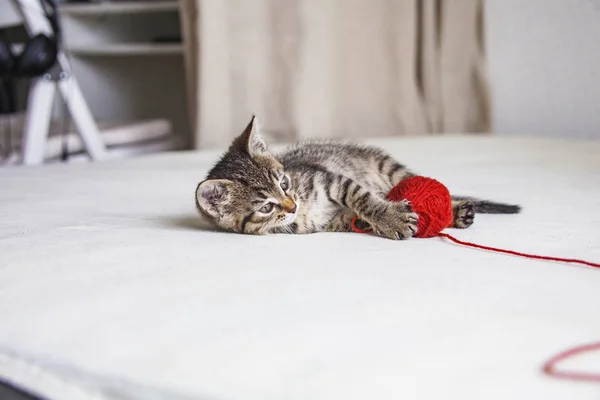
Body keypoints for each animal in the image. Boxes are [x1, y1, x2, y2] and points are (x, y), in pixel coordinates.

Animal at [195, 116, 516, 241]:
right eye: (266, 207)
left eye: (284, 183)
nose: (292, 205)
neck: (305, 210)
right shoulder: (331, 223)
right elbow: (356, 218)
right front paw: (384, 219)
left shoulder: (332, 180)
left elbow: (363, 198)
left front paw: (389, 217)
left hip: (390, 167)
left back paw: (458, 210)